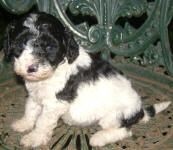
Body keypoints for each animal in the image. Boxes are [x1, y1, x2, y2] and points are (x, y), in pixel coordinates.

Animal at [3, 12, 171, 148]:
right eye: (20, 44)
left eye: (50, 48)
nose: (31, 68)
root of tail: (139, 111)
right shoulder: (35, 94)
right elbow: (30, 109)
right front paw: (24, 123)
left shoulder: (55, 103)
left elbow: (43, 121)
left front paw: (34, 138)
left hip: (113, 117)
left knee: (125, 131)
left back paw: (99, 138)